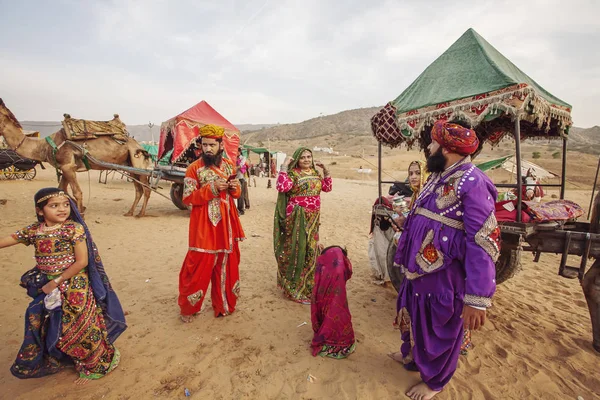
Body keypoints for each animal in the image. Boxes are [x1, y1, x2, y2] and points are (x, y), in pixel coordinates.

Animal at [0, 98, 152, 217]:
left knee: (146, 189)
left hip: (138, 163)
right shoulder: (66, 167)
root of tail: (139, 145)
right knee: (139, 190)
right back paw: (130, 212)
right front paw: (80, 209)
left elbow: (76, 192)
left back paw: (141, 213)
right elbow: (62, 190)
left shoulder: (67, 165)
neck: (44, 146)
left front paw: (81, 214)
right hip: (130, 165)